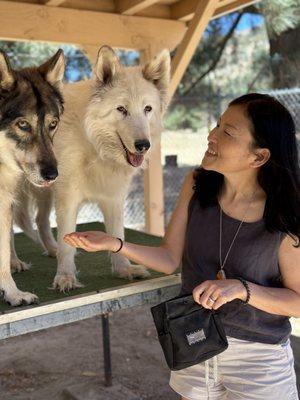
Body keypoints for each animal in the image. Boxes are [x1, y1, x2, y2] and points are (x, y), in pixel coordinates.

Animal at [19, 46, 171, 290]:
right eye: (121, 109)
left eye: (147, 109)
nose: (143, 145)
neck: (95, 146)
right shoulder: (68, 199)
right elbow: (67, 241)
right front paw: (65, 277)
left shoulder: (113, 197)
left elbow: (118, 234)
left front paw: (124, 269)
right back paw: (14, 264)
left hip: (46, 193)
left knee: (41, 222)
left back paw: (51, 250)